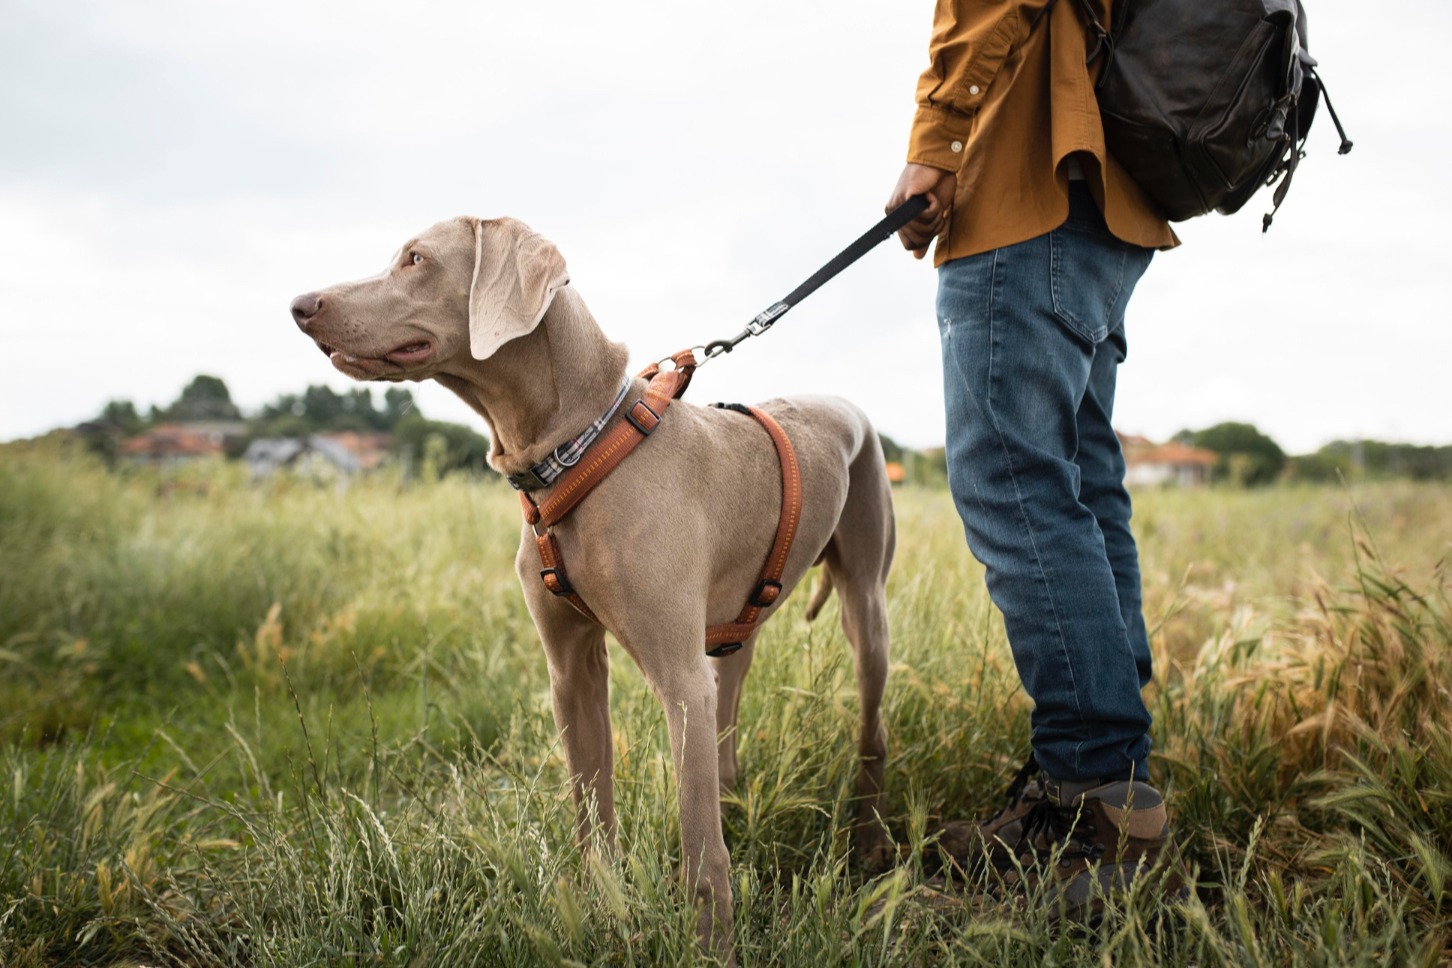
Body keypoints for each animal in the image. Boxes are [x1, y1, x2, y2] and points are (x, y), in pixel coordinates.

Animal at [288, 216, 888, 963]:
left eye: (417, 259)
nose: (300, 305)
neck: (574, 449)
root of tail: (846, 403)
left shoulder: (677, 679)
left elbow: (700, 850)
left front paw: (711, 946)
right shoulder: (571, 671)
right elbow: (591, 813)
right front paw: (606, 914)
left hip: (865, 607)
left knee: (871, 727)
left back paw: (868, 841)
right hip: (734, 630)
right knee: (729, 710)